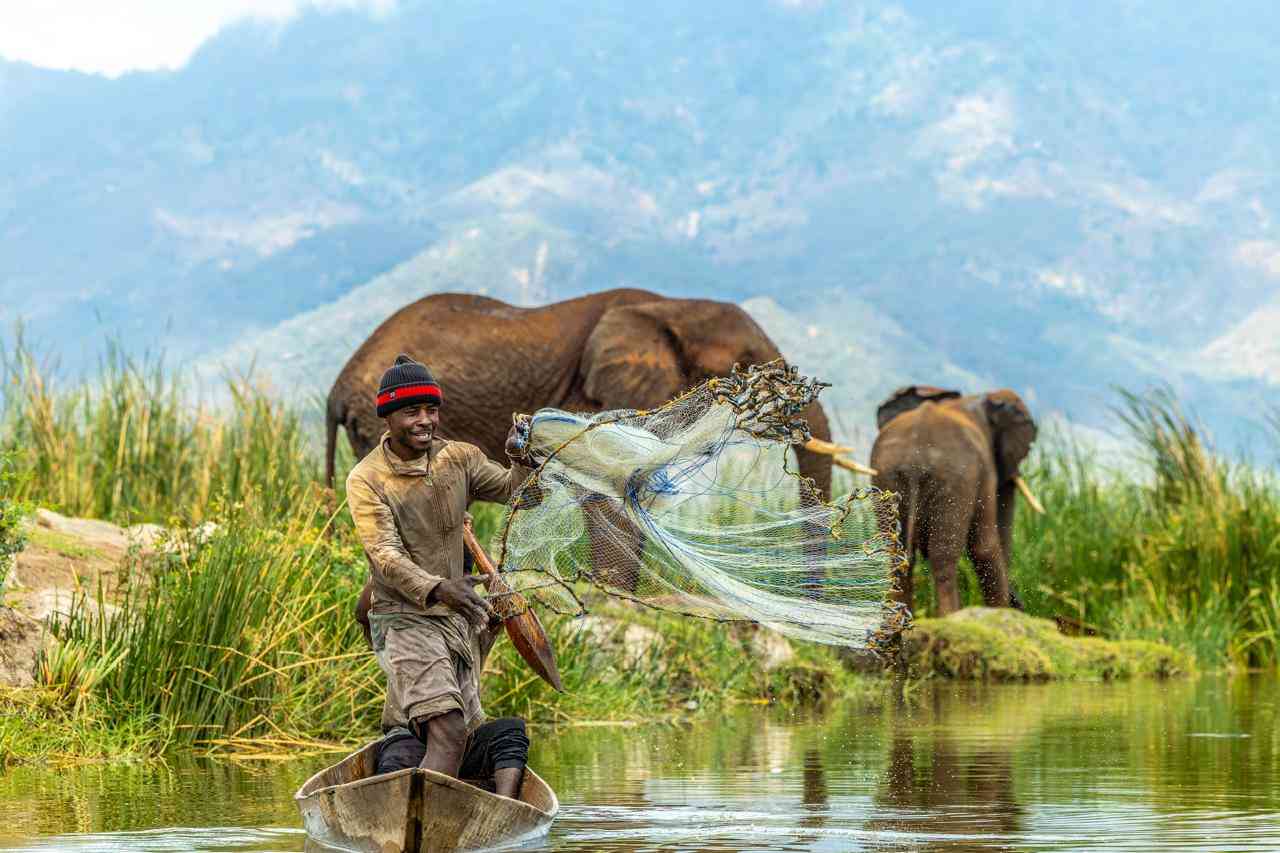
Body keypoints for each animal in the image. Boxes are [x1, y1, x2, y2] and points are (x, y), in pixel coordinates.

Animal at [869, 385, 1038, 616]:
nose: (1020, 605)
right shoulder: (983, 469)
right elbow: (984, 545)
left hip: (887, 480)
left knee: (898, 556)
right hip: (954, 481)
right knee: (943, 556)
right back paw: (949, 617)